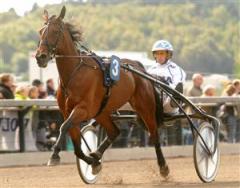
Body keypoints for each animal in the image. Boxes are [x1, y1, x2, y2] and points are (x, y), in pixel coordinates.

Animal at [35, 6, 169, 178]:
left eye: (56, 31)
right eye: (41, 31)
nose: (41, 56)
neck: (74, 73)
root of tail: (139, 67)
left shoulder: (83, 109)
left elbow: (64, 127)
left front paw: (54, 155)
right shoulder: (67, 111)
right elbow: (76, 145)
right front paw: (93, 162)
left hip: (145, 107)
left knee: (154, 135)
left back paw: (163, 166)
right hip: (102, 111)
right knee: (114, 132)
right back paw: (97, 154)